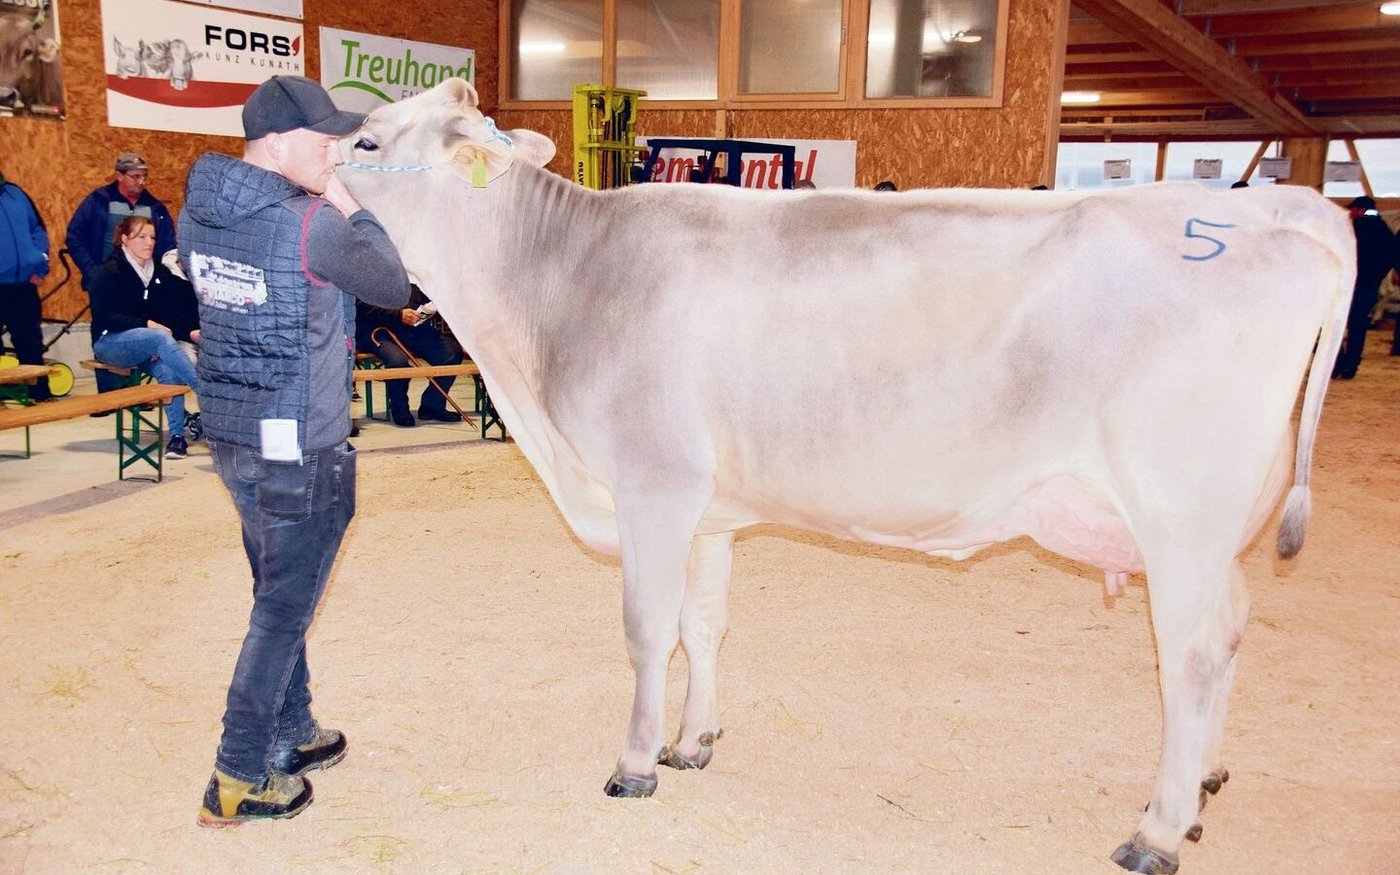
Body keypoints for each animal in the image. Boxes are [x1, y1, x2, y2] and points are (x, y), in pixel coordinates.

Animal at [338, 79, 1353, 874]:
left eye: (368, 141)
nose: (317, 162)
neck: (560, 286)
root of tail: (1271, 208)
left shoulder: (653, 485)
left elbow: (645, 630)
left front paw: (635, 759)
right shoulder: (706, 509)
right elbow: (703, 625)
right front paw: (694, 740)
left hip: (1179, 513)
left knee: (1192, 652)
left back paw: (1159, 828)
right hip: (1216, 529)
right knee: (1231, 626)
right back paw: (1206, 781)